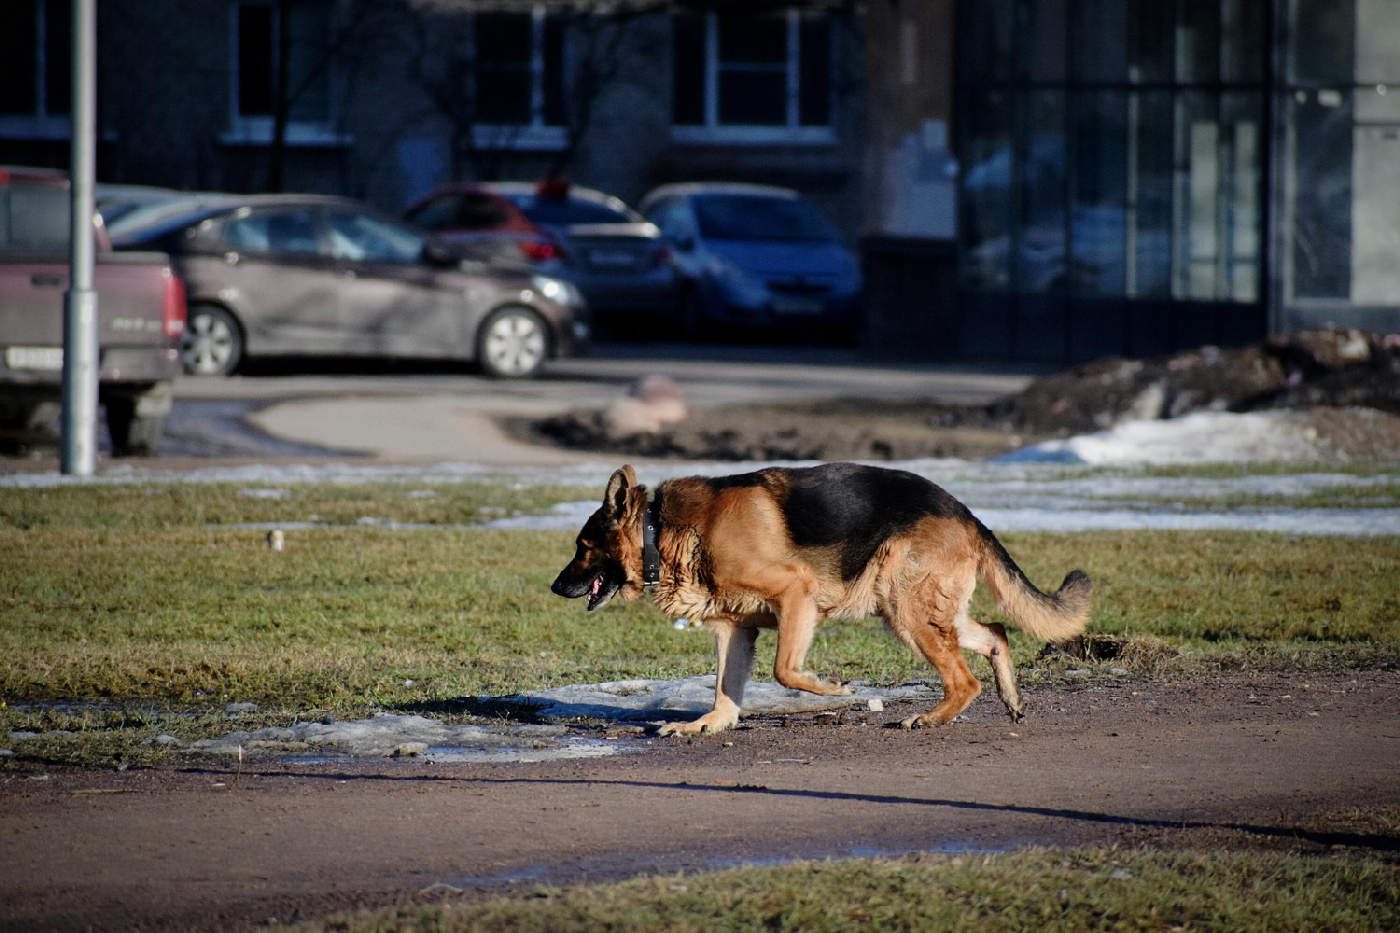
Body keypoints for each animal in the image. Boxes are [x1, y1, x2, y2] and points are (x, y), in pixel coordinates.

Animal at [548, 462, 1092, 728]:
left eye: (582, 547)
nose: (553, 587)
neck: (659, 529)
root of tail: (965, 511)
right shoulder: (735, 629)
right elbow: (725, 686)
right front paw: (711, 724)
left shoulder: (796, 595)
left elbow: (784, 670)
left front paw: (833, 689)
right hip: (921, 610)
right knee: (996, 632)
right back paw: (1011, 699)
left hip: (905, 611)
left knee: (964, 680)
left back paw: (932, 717)